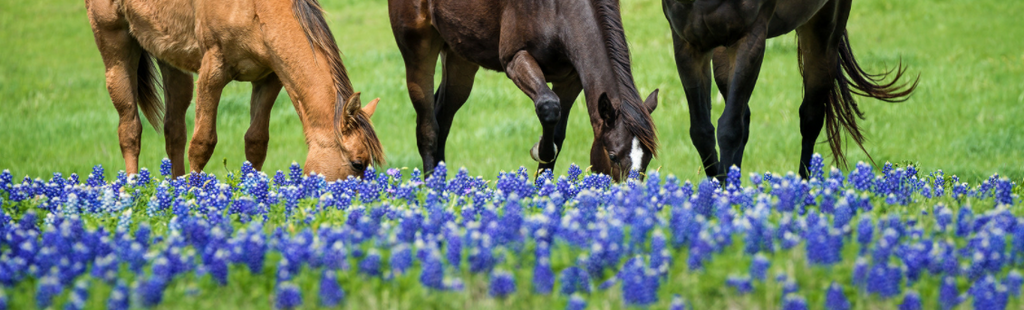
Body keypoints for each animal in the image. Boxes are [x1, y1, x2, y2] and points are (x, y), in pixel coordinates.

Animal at [84, 0, 385, 181]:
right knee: (130, 129)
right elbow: (202, 143)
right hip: (114, 43)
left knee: (174, 131)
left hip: (171, 57)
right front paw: (193, 197)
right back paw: (132, 190)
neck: (256, 8)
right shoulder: (212, 70)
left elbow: (256, 142)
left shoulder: (269, 77)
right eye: (358, 163)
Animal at [387, 0, 659, 182]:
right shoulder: (515, 58)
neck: (557, 9)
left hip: (460, 58)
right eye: (612, 156)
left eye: (647, 158)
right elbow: (549, 107)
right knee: (428, 128)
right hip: (418, 49)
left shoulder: (570, 79)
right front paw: (540, 150)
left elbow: (557, 135)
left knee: (442, 119)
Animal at [663, 0, 921, 182]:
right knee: (743, 115)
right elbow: (702, 132)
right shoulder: (687, 43)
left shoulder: (751, 38)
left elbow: (729, 130)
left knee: (811, 117)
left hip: (823, 30)